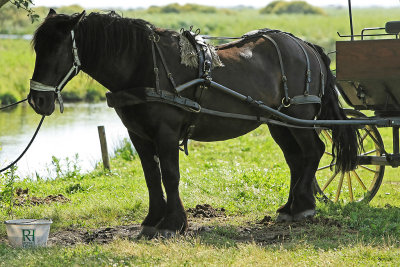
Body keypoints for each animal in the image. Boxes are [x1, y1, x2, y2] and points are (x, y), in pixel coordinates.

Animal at [28, 9, 360, 238]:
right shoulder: (138, 135)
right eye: (37, 49)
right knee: (296, 158)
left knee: (313, 151)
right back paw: (291, 207)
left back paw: (303, 206)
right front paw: (152, 221)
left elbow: (170, 175)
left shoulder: (165, 133)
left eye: (56, 49)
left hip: (300, 116)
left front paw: (173, 223)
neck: (143, 65)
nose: (36, 100)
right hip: (278, 120)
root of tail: (305, 45)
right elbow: (152, 177)